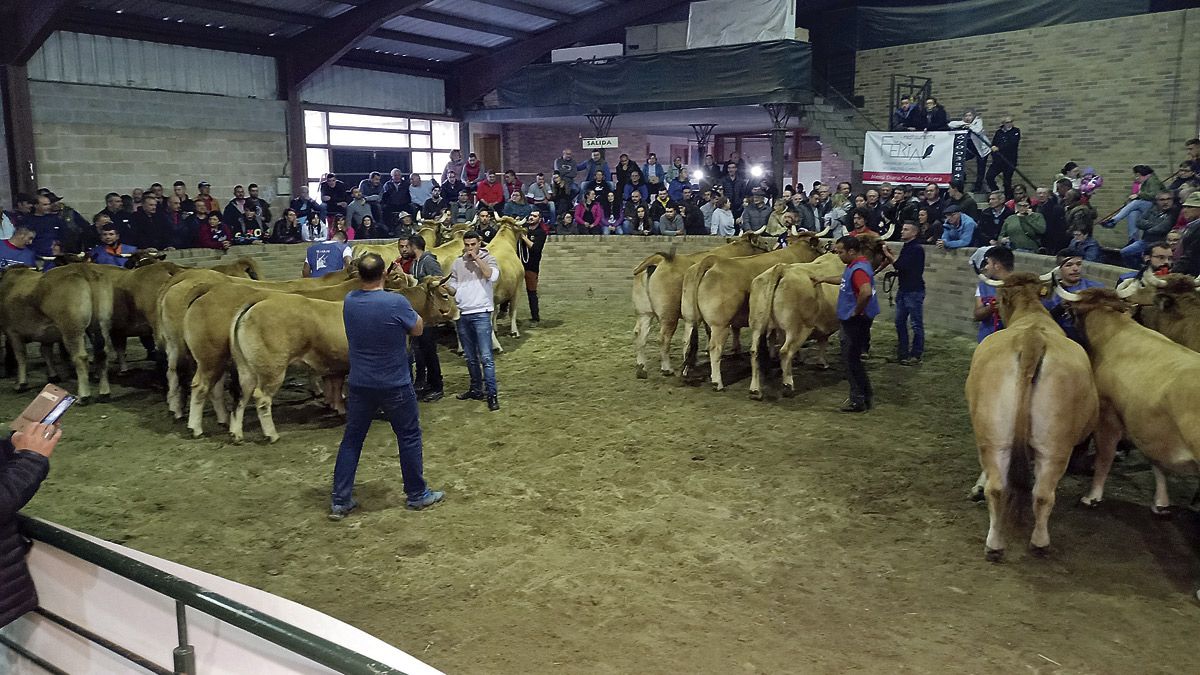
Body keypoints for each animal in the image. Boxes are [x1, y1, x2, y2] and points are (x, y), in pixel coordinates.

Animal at [226, 277, 456, 441]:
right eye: (445, 295)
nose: (457, 313)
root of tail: (257, 304)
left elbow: (336, 387)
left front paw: (340, 407)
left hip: (246, 369)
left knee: (242, 396)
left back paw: (236, 433)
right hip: (273, 369)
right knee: (261, 398)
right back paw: (271, 434)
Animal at [633, 230, 772, 379]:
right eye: (764, 242)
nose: (770, 247)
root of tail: (660, 260)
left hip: (644, 313)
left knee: (640, 334)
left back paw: (641, 368)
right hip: (669, 315)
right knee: (663, 338)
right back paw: (667, 369)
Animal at [681, 230, 830, 389]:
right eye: (821, 245)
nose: (828, 248)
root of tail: (711, 261)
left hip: (690, 318)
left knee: (687, 340)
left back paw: (685, 371)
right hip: (720, 324)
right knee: (715, 348)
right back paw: (717, 382)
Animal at [964, 270, 1099, 559]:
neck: (1031, 313)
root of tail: (1031, 340)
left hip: (994, 435)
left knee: (1000, 488)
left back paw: (996, 544)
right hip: (1054, 446)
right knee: (1043, 493)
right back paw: (1038, 542)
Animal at [1051, 281, 1200, 511]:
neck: (1113, 333)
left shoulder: (1107, 416)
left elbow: (1105, 457)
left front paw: (1092, 497)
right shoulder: (1148, 426)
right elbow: (1155, 461)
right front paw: (1161, 502)